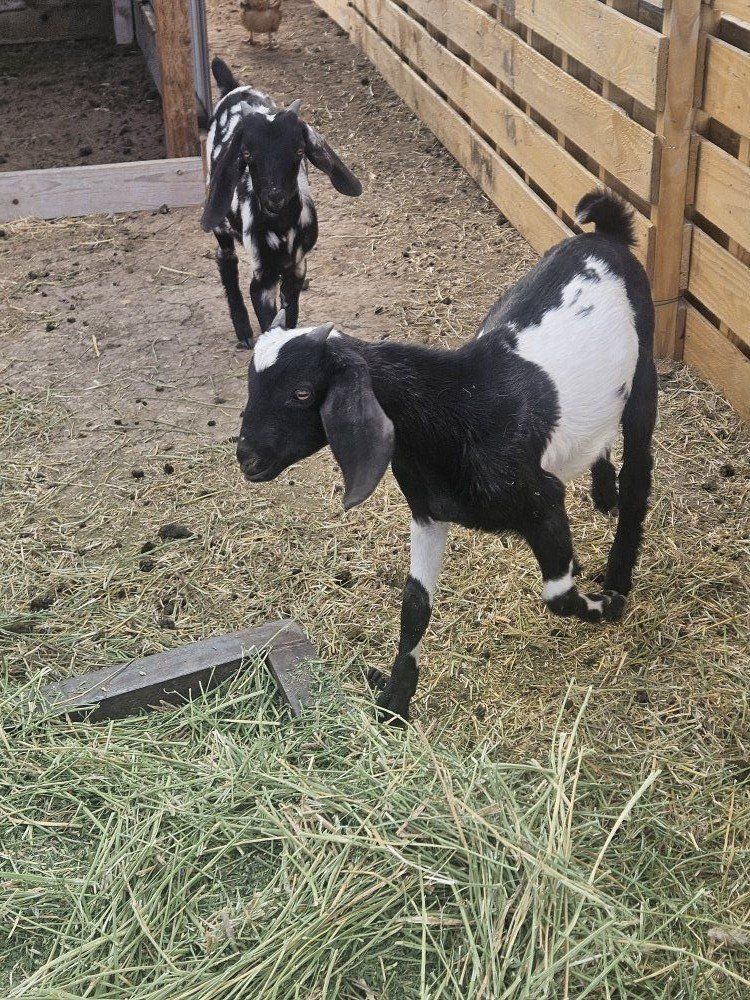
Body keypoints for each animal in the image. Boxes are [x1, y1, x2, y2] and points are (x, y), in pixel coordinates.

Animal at [201, 57, 362, 346]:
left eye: (299, 151)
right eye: (246, 154)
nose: (274, 197)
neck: (282, 228)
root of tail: (234, 87)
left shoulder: (296, 267)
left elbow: (291, 315)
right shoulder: (263, 276)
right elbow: (269, 320)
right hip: (219, 221)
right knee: (225, 259)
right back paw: (243, 330)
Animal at [236, 191, 658, 723]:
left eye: (302, 392)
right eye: (251, 385)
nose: (247, 458)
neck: (458, 408)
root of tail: (605, 235)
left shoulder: (542, 500)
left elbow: (559, 596)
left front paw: (603, 606)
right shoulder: (428, 513)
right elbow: (414, 606)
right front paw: (395, 701)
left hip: (644, 375)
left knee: (640, 473)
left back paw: (619, 572)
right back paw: (604, 494)